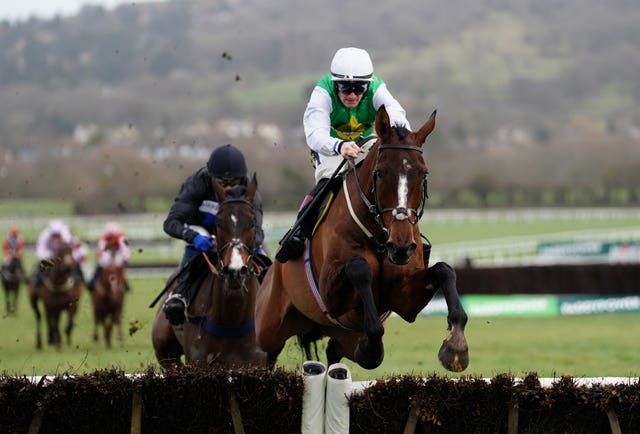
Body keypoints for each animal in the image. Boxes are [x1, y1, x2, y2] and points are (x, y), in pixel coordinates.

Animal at [255, 107, 470, 372]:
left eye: (423, 174)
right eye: (380, 173)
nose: (401, 248)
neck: (379, 238)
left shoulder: (404, 300)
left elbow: (444, 270)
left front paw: (456, 346)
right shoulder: (329, 298)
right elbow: (359, 268)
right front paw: (371, 347)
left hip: (341, 337)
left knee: (333, 351)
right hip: (269, 328)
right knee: (267, 353)